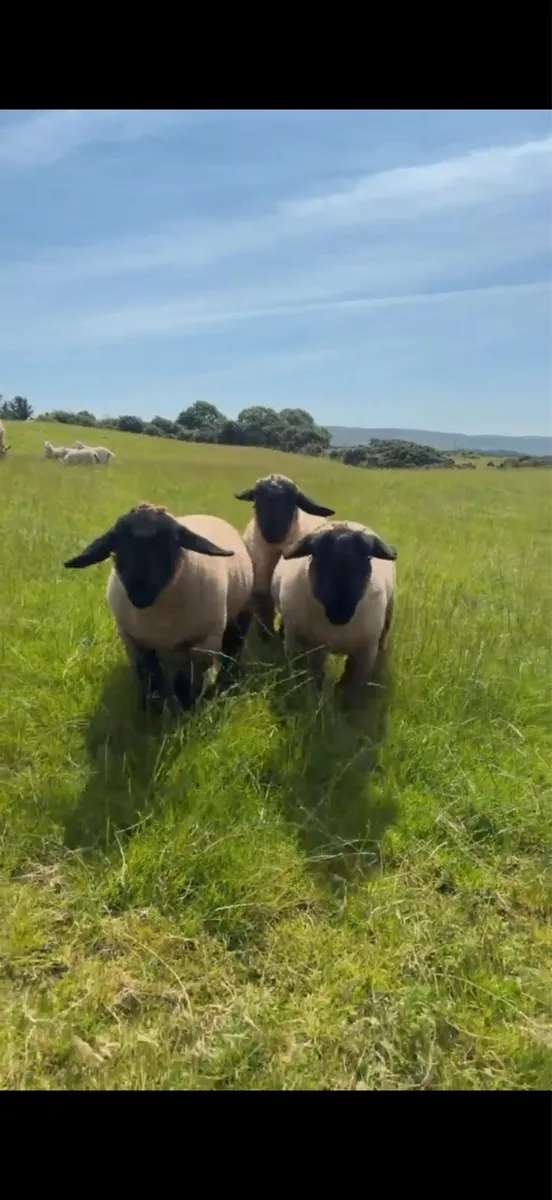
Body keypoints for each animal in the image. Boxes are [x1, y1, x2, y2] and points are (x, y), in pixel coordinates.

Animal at [63, 502, 254, 712]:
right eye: (118, 546)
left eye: (170, 544)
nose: (140, 592)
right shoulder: (135, 643)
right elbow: (151, 679)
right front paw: (151, 709)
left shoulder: (203, 642)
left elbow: (188, 682)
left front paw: (187, 710)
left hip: (239, 616)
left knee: (232, 649)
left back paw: (225, 684)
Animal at [234, 473, 335, 638]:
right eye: (257, 500)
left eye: (291, 501)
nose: (272, 532)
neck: (275, 552)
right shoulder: (260, 587)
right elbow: (264, 609)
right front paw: (265, 635)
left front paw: (280, 634)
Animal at [271, 520, 397, 702]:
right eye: (316, 555)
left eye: (368, 557)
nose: (340, 610)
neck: (336, 627)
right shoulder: (303, 644)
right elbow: (310, 677)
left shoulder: (365, 653)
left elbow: (348, 686)